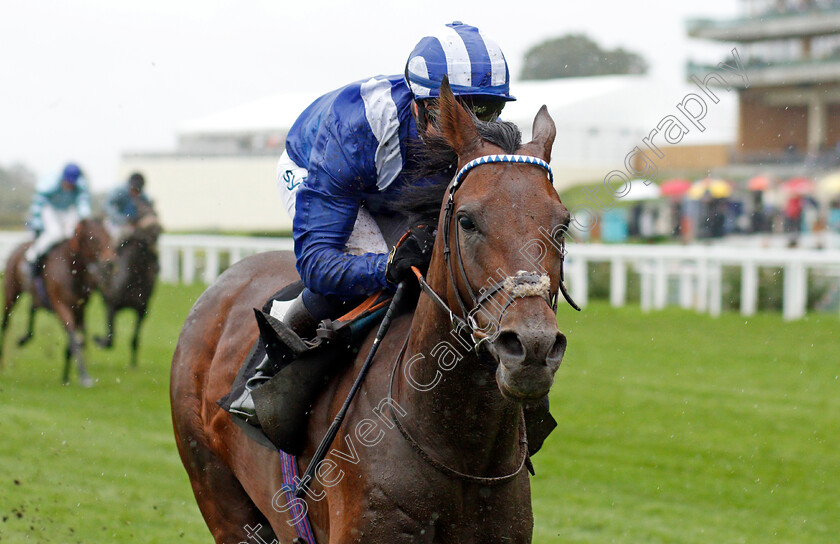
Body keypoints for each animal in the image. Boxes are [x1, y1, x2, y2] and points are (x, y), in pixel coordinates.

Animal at [0, 218, 115, 386]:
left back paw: (25, 338)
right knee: (5, 323)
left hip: (36, 296)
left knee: (32, 308)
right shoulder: (61, 305)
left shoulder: (80, 308)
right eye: (94, 239)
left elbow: (78, 340)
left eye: (109, 236)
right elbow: (73, 337)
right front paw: (84, 376)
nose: (110, 263)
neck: (72, 269)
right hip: (11, 292)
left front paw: (67, 376)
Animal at [95, 206, 161, 368]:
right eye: (148, 235)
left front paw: (133, 364)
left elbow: (134, 338)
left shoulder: (141, 310)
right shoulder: (112, 306)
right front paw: (99, 340)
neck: (132, 281)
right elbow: (110, 338)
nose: (157, 266)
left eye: (159, 233)